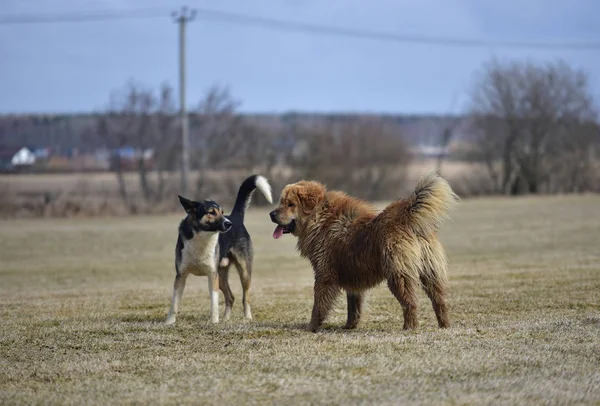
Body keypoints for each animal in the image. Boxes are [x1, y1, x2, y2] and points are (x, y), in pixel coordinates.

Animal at [166, 174, 274, 324]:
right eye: (211, 212)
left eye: (222, 212)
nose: (228, 223)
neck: (202, 237)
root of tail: (235, 217)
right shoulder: (180, 275)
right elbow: (175, 303)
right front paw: (169, 322)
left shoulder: (212, 275)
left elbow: (214, 302)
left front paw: (214, 322)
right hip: (221, 276)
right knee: (230, 297)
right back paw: (225, 319)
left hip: (244, 272)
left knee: (245, 297)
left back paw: (247, 318)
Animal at [270, 171, 458, 334]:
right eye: (281, 202)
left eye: (290, 204)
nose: (271, 214)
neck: (319, 218)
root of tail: (408, 218)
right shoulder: (353, 278)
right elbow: (353, 307)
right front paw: (349, 326)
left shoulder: (324, 275)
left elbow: (319, 305)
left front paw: (312, 327)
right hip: (430, 272)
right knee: (439, 302)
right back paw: (444, 326)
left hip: (398, 275)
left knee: (410, 302)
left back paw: (409, 328)